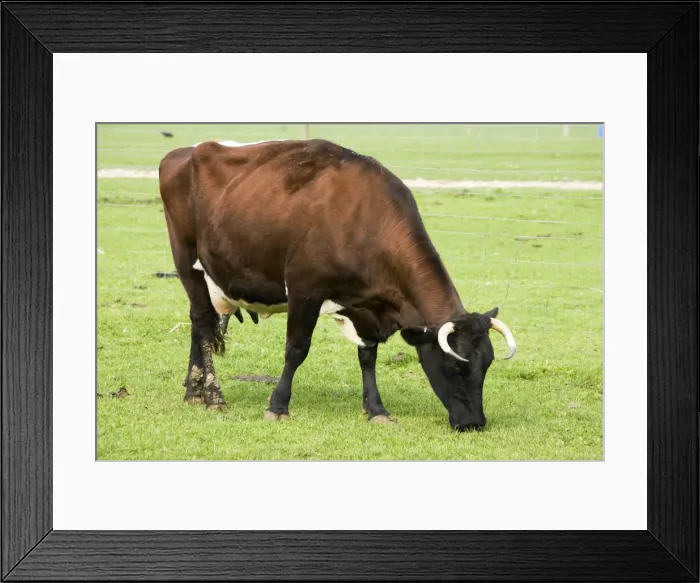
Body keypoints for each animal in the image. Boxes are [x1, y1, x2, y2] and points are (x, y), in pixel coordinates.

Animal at [158, 138, 516, 432]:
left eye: (486, 364)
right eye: (455, 367)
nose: (474, 423)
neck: (364, 216)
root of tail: (186, 152)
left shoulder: (366, 305)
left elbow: (368, 357)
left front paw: (376, 409)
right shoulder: (304, 290)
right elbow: (296, 349)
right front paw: (278, 406)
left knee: (198, 323)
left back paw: (194, 390)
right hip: (186, 261)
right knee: (203, 323)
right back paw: (213, 396)